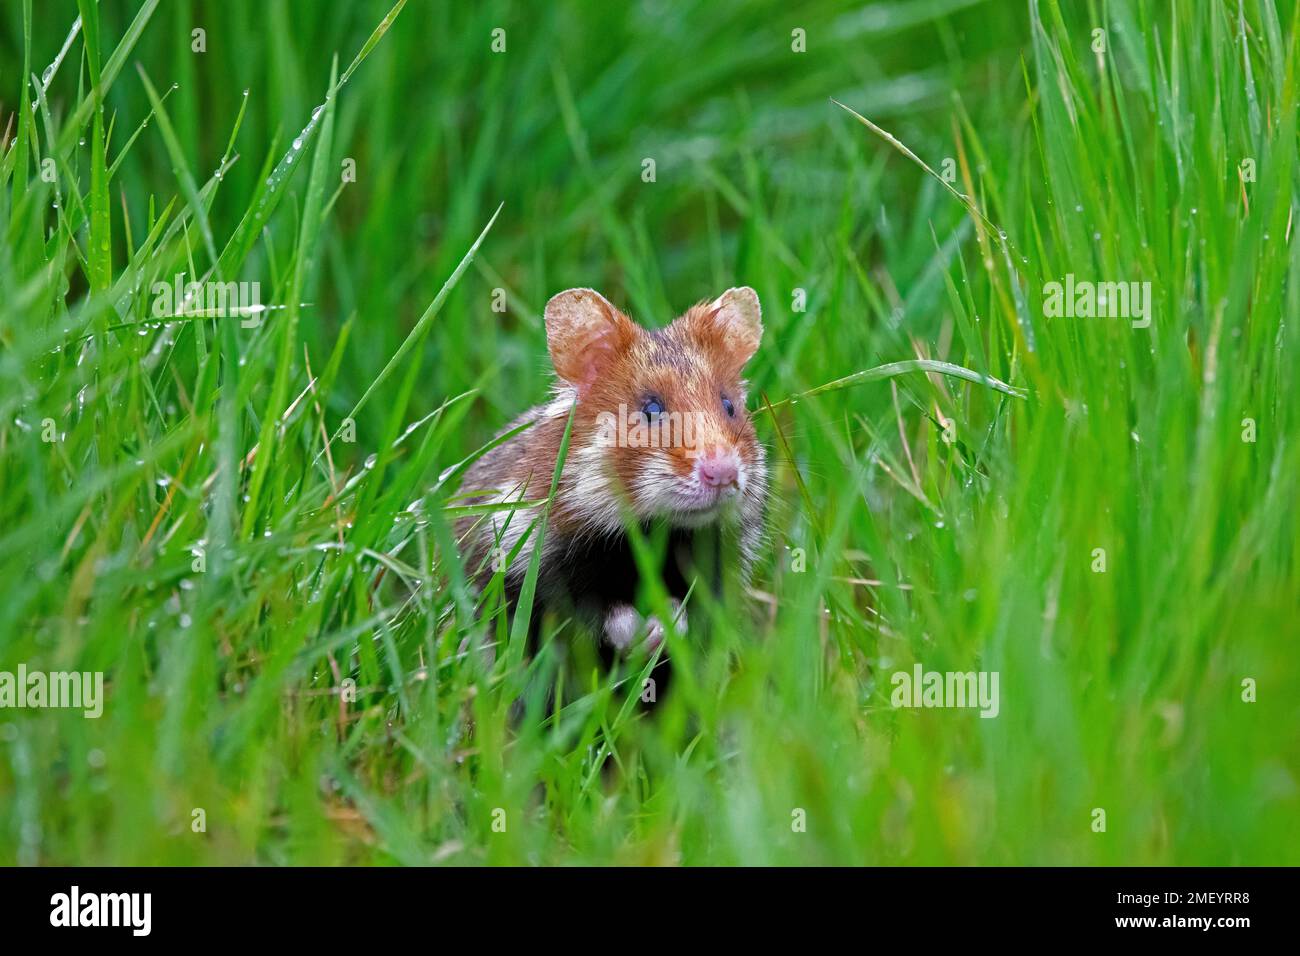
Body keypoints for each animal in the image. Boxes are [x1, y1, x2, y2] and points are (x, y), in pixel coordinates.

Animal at [456, 286, 768, 658]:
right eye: (651, 410)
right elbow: (600, 614)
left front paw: (668, 627)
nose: (722, 473)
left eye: (729, 405)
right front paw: (645, 634)